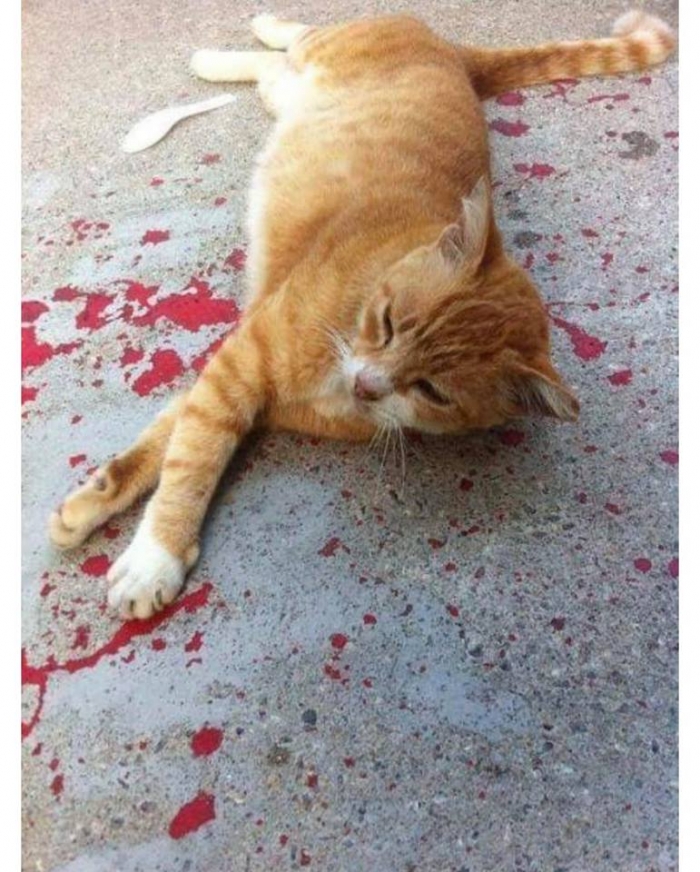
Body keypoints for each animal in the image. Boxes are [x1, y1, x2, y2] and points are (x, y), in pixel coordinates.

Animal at [48, 10, 675, 619]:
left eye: (432, 391)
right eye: (391, 321)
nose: (368, 385)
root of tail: (452, 51)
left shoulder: (254, 395)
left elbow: (174, 436)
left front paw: (97, 501)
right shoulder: (240, 367)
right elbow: (192, 459)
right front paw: (156, 555)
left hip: (287, 93)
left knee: (272, 68)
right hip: (321, 51)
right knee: (295, 34)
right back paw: (244, 36)